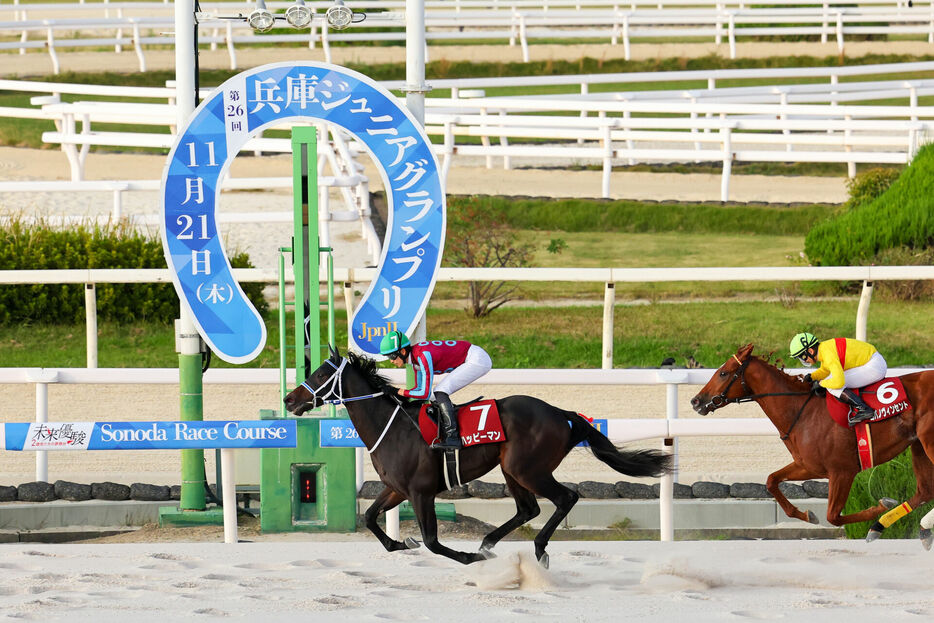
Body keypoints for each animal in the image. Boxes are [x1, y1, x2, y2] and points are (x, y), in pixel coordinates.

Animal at [286, 348, 672, 568]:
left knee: (566, 497)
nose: (290, 400)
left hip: (527, 468)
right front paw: (399, 542)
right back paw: (488, 544)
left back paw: (536, 549)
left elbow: (432, 541)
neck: (391, 426)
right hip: (511, 470)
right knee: (528, 509)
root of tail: (562, 413)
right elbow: (368, 517)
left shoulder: (421, 492)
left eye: (320, 374)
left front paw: (466, 556)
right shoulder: (396, 488)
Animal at [692, 344, 934, 548]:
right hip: (919, 446)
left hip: (928, 442)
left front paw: (881, 506)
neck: (802, 411)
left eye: (723, 373)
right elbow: (771, 481)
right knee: (925, 491)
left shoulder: (842, 471)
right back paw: (908, 528)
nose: (696, 401)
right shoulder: (809, 466)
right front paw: (807, 515)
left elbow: (833, 516)